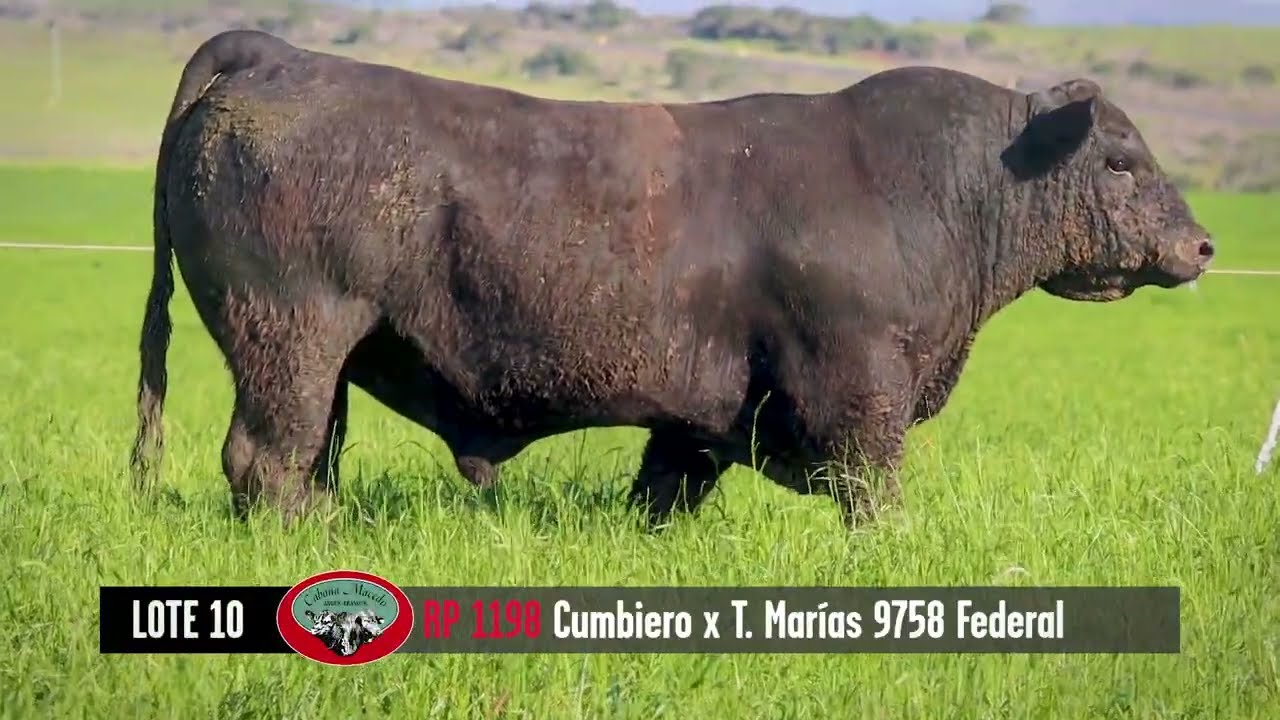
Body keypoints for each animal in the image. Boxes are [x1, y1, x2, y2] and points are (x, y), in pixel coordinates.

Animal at [129, 30, 1214, 530]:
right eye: (1119, 160)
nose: (1202, 247)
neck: (940, 183)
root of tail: (274, 53)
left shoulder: (697, 418)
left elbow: (666, 489)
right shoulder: (862, 384)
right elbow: (872, 489)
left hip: (330, 359)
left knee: (305, 455)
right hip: (293, 336)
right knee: (263, 459)